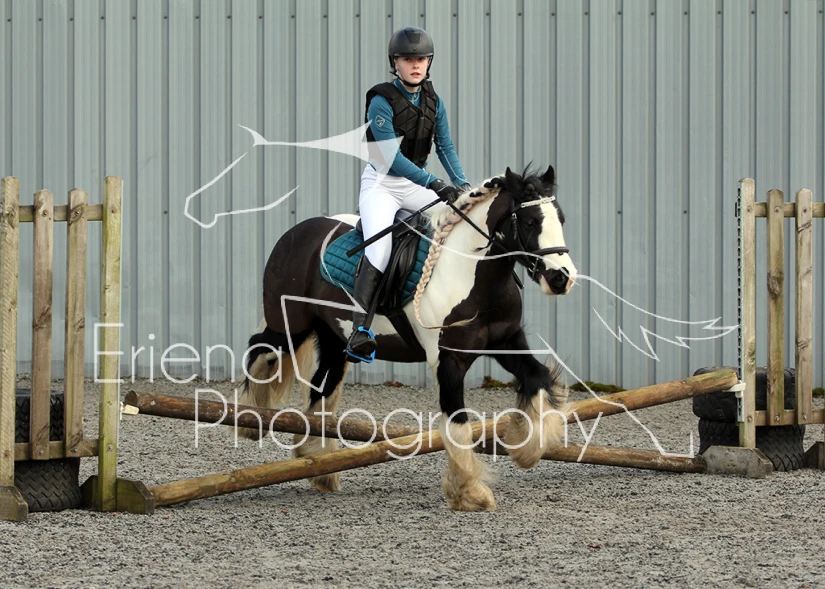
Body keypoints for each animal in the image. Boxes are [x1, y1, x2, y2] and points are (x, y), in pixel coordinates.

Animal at [239, 165, 577, 511]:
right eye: (530, 221)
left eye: (561, 219)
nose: (561, 278)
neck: (471, 273)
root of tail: (295, 234)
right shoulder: (448, 359)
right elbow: (457, 421)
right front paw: (469, 492)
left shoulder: (507, 344)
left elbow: (539, 378)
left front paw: (526, 449)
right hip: (290, 327)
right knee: (260, 347)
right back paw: (251, 419)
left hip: (334, 339)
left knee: (321, 386)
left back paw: (317, 462)